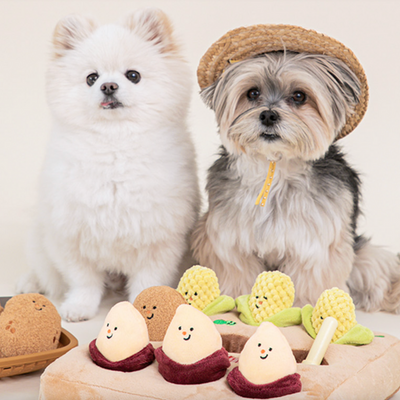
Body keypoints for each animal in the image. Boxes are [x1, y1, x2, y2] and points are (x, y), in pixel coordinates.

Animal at [18, 8, 200, 322]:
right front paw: (79, 307)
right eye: (91, 78)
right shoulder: (71, 236)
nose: (108, 86)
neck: (115, 145)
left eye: (133, 75)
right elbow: (84, 281)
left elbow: (147, 282)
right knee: (45, 272)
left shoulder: (160, 240)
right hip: (39, 242)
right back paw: (28, 283)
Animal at [191, 24, 400, 312]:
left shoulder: (317, 246)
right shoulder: (227, 241)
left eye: (299, 96)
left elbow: (310, 279)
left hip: (367, 257)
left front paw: (305, 311)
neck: (275, 167)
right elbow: (237, 274)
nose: (268, 115)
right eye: (252, 93)